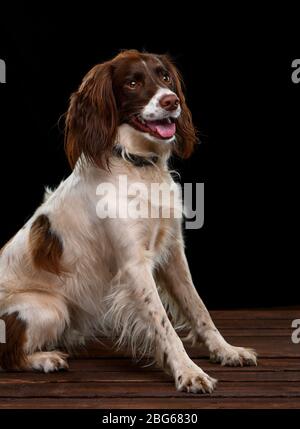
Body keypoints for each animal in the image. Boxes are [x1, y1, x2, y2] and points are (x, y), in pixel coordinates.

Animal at [0, 49, 258, 392]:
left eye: (165, 76)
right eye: (133, 83)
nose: (172, 101)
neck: (138, 166)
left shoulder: (173, 253)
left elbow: (198, 307)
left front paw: (226, 351)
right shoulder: (134, 264)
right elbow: (163, 324)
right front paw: (188, 372)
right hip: (49, 308)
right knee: (9, 354)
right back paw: (45, 359)